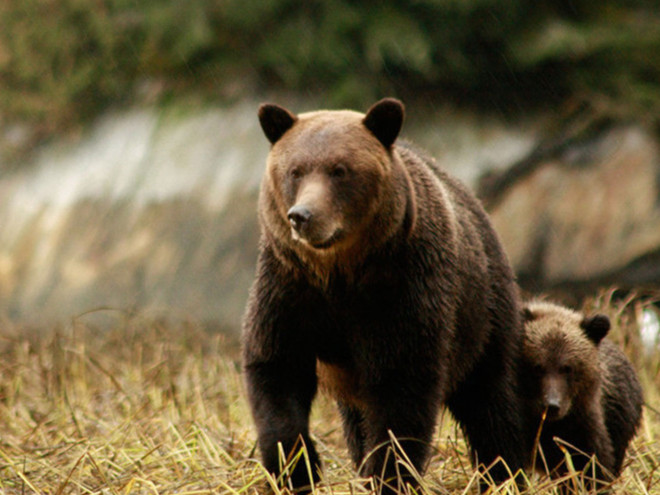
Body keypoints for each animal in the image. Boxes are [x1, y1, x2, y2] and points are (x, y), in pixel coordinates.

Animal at [242, 99, 524, 494]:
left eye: (340, 170)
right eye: (295, 171)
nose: (302, 216)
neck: (339, 272)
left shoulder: (400, 291)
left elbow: (400, 387)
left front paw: (390, 474)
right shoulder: (290, 288)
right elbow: (277, 369)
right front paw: (295, 468)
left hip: (483, 310)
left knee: (490, 398)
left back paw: (502, 473)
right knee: (355, 418)